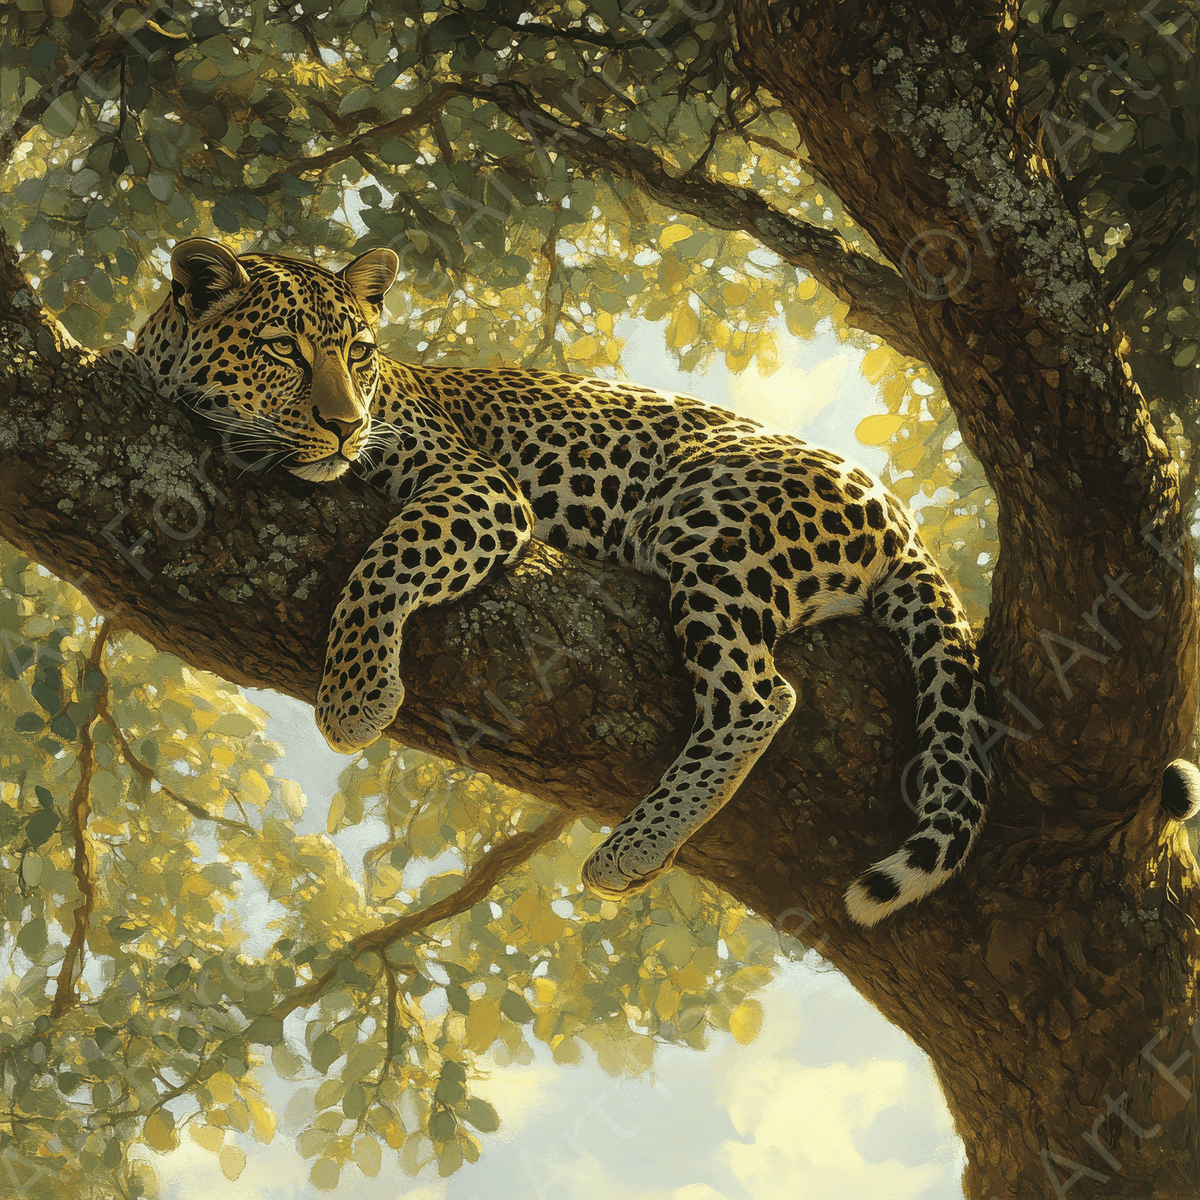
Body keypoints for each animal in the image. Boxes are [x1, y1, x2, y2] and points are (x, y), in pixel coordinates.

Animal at [118, 236, 999, 929]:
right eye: (282, 350)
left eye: (358, 354)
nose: (346, 425)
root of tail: (897, 512)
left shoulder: (480, 486)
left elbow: (386, 561)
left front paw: (355, 696)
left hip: (714, 528)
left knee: (759, 697)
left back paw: (632, 848)